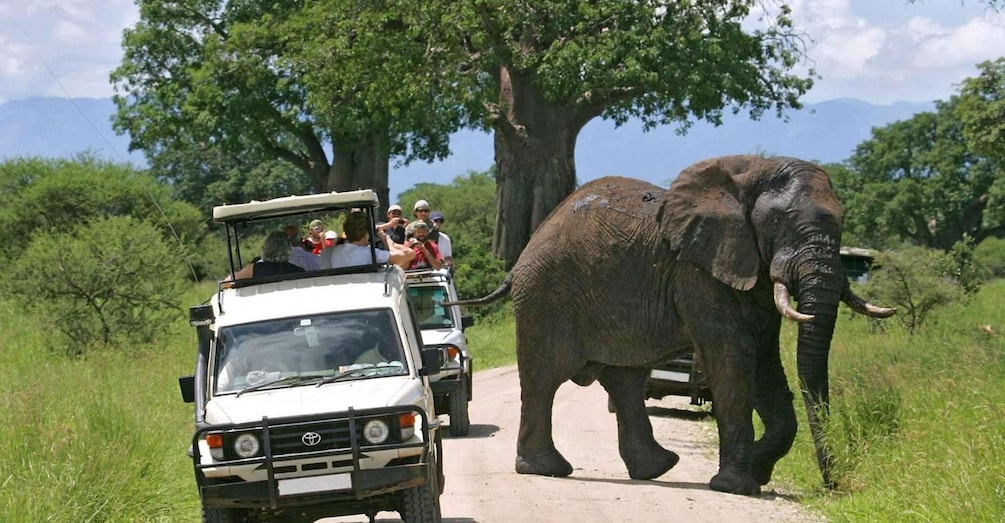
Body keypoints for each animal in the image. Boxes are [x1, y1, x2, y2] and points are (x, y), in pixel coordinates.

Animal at [448, 153, 896, 494]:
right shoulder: (697, 272)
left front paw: (757, 469)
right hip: (545, 295)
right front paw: (736, 486)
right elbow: (733, 360)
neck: (751, 174)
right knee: (545, 377)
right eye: (779, 223)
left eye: (842, 222)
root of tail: (521, 256)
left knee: (625, 380)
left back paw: (656, 468)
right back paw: (547, 470)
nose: (832, 485)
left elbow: (766, 364)